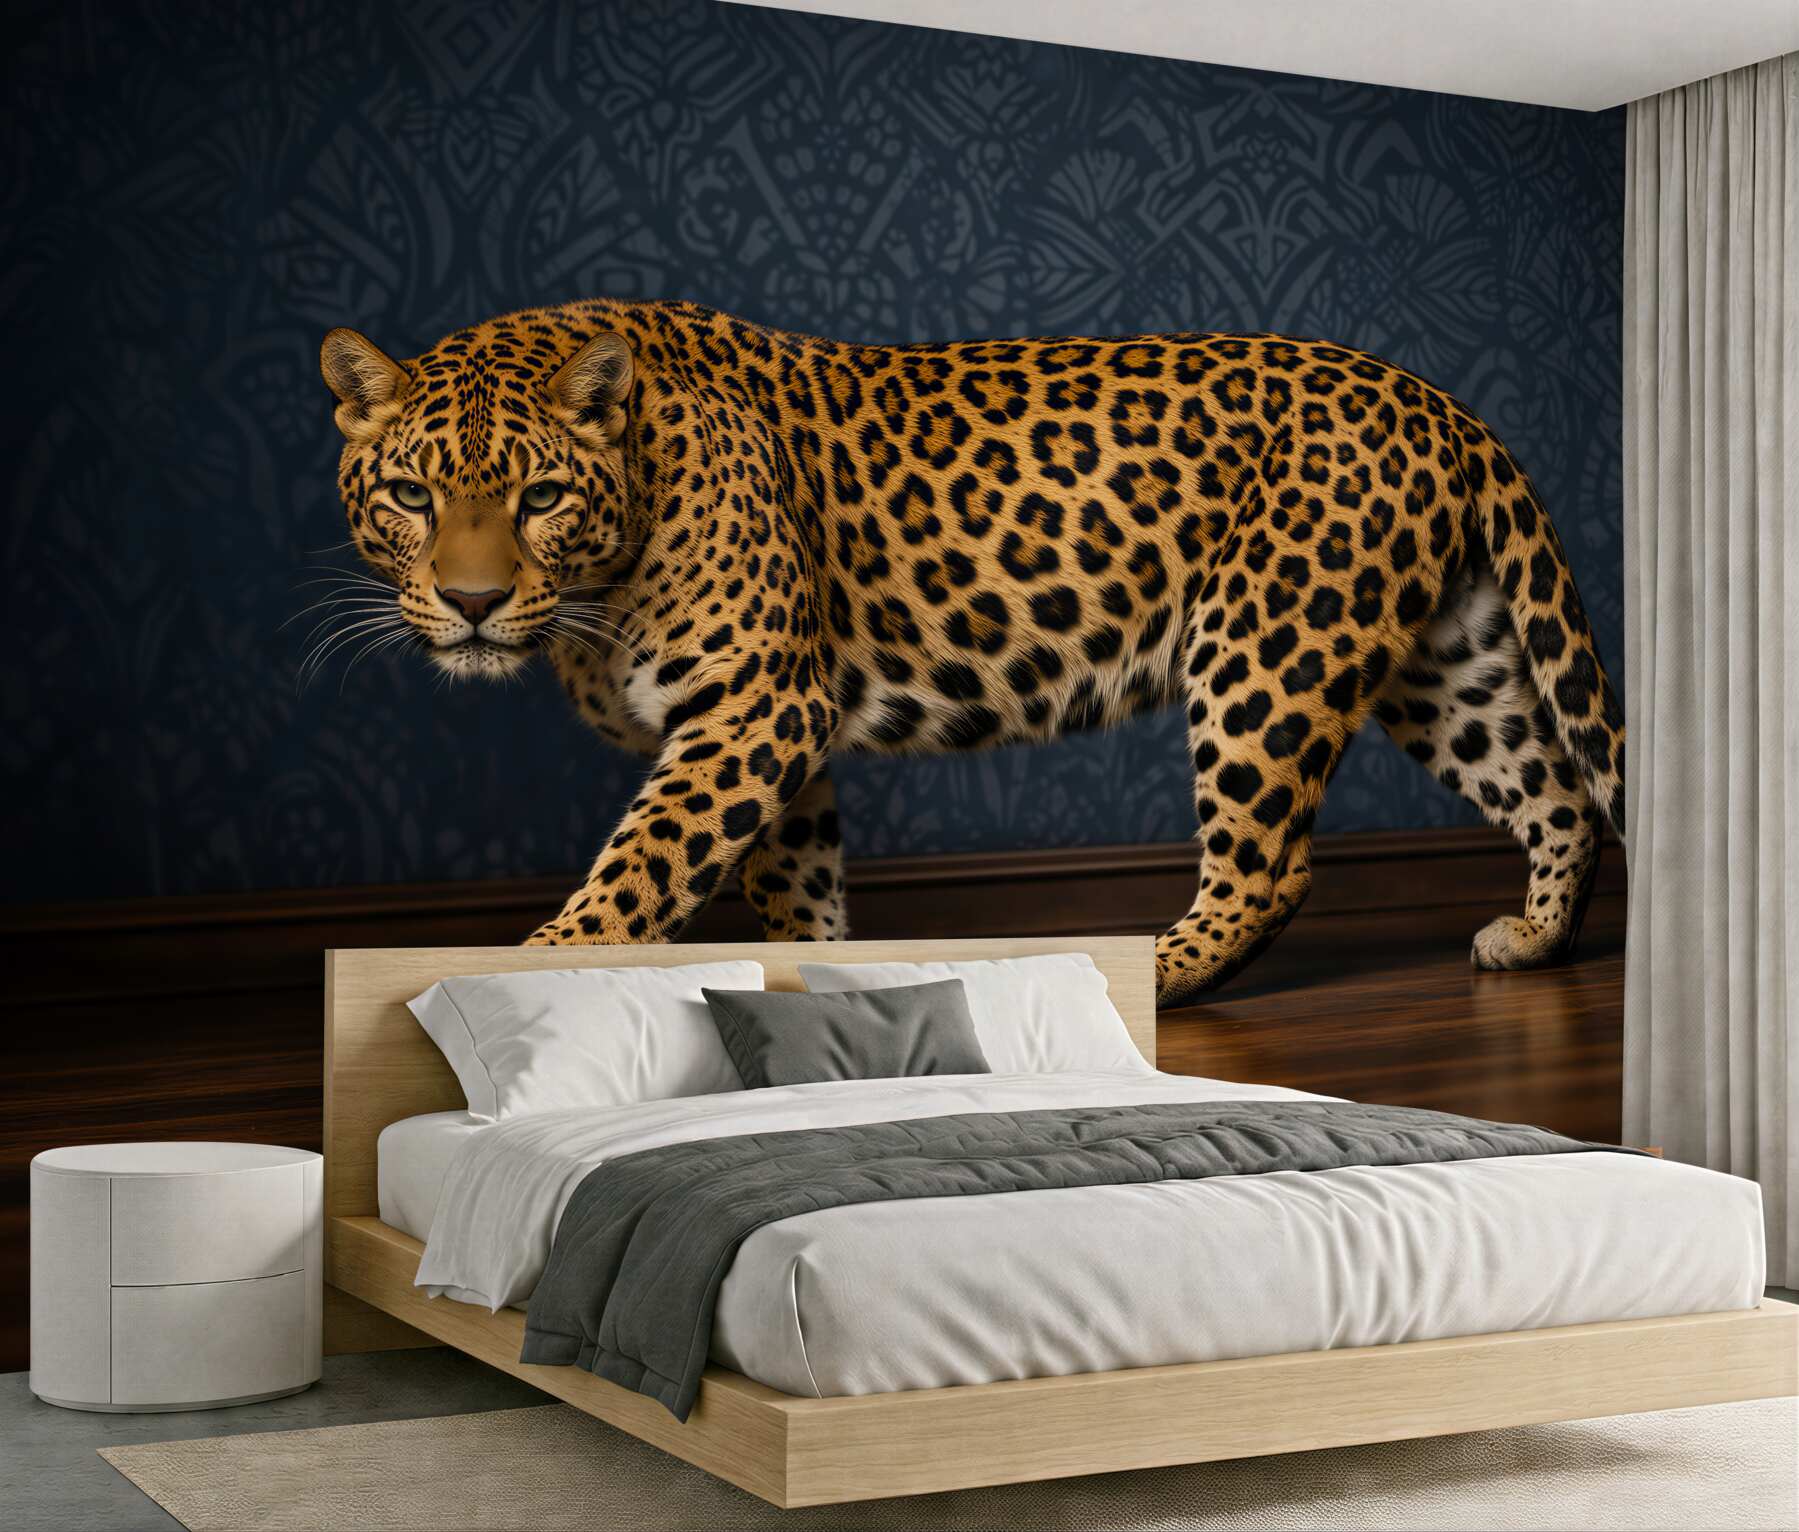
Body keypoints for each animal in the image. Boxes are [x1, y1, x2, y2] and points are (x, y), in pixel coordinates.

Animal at [320, 300, 1625, 1006]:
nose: (473, 601)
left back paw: (1147, 971)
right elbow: (795, 891)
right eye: (409, 495)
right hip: (1442, 660)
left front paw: (537, 963)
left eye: (539, 495)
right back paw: (1531, 938)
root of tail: (1436, 399)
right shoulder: (785, 728)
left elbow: (640, 868)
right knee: (1555, 790)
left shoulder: (751, 706)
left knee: (1268, 864)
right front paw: (829, 982)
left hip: (1265, 646)